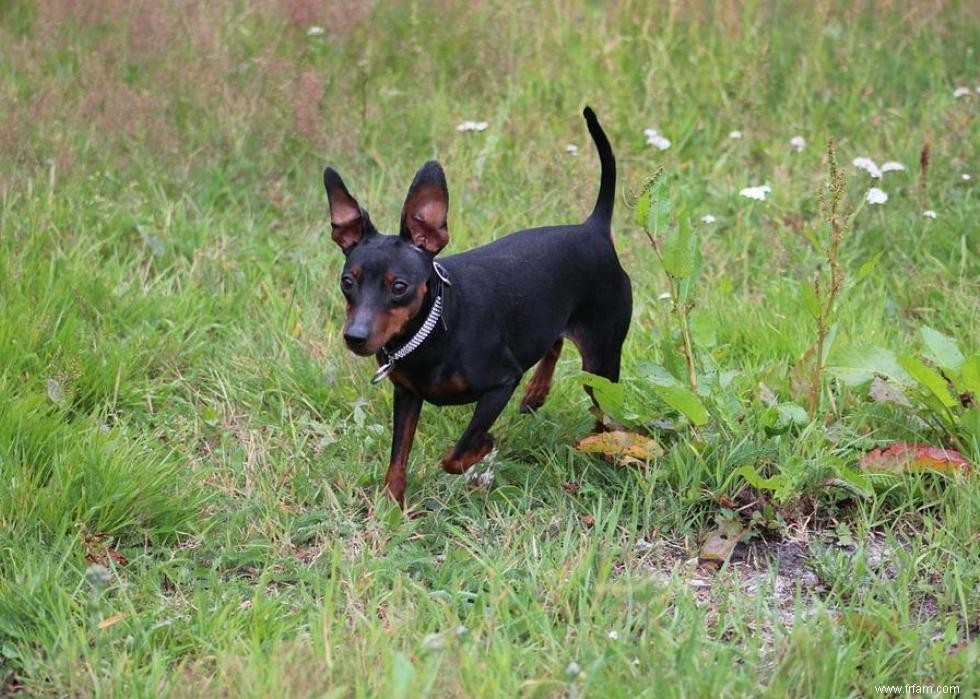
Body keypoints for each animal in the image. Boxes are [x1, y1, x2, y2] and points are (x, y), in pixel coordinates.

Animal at [322, 106, 628, 506]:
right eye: (348, 282)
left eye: (399, 287)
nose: (355, 337)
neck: (432, 331)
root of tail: (593, 228)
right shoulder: (407, 396)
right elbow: (397, 459)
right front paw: (390, 505)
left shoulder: (501, 383)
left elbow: (456, 454)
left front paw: (484, 443)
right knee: (553, 341)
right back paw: (537, 392)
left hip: (601, 361)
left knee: (602, 407)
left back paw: (601, 445)